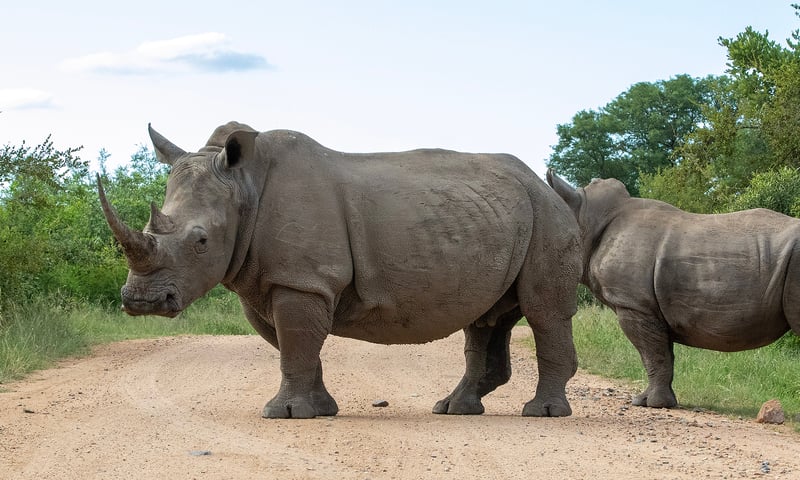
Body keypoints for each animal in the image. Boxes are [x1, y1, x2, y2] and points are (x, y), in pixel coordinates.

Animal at [98, 121, 583, 419]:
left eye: (200, 241)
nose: (141, 301)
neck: (243, 188)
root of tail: (548, 186)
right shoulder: (271, 280)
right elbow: (295, 347)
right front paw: (319, 409)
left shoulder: (302, 279)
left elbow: (295, 345)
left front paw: (283, 414)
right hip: (501, 215)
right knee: (485, 318)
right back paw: (454, 408)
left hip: (547, 215)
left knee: (544, 312)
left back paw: (542, 413)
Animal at [546, 169, 800, 408]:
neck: (586, 216)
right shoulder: (652, 308)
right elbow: (663, 355)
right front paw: (654, 401)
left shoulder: (634, 304)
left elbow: (651, 354)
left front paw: (651, 404)